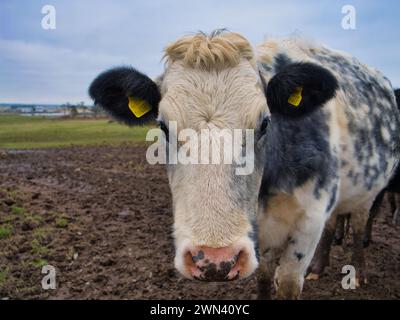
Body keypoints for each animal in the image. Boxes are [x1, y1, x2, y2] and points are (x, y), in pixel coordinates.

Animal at [88, 30, 400, 300]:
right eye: (163, 126)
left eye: (264, 123)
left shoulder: (308, 223)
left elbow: (287, 282)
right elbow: (263, 277)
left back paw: (357, 273)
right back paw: (318, 269)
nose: (214, 260)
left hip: (366, 194)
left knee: (358, 225)